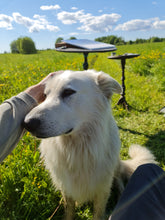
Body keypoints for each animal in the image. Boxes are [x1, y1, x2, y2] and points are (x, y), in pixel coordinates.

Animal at [23, 70, 156, 220]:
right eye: (45, 96)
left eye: (68, 92)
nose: (27, 123)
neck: (77, 149)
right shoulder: (66, 187)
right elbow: (69, 210)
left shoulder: (102, 188)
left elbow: (98, 213)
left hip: (115, 166)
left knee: (119, 180)